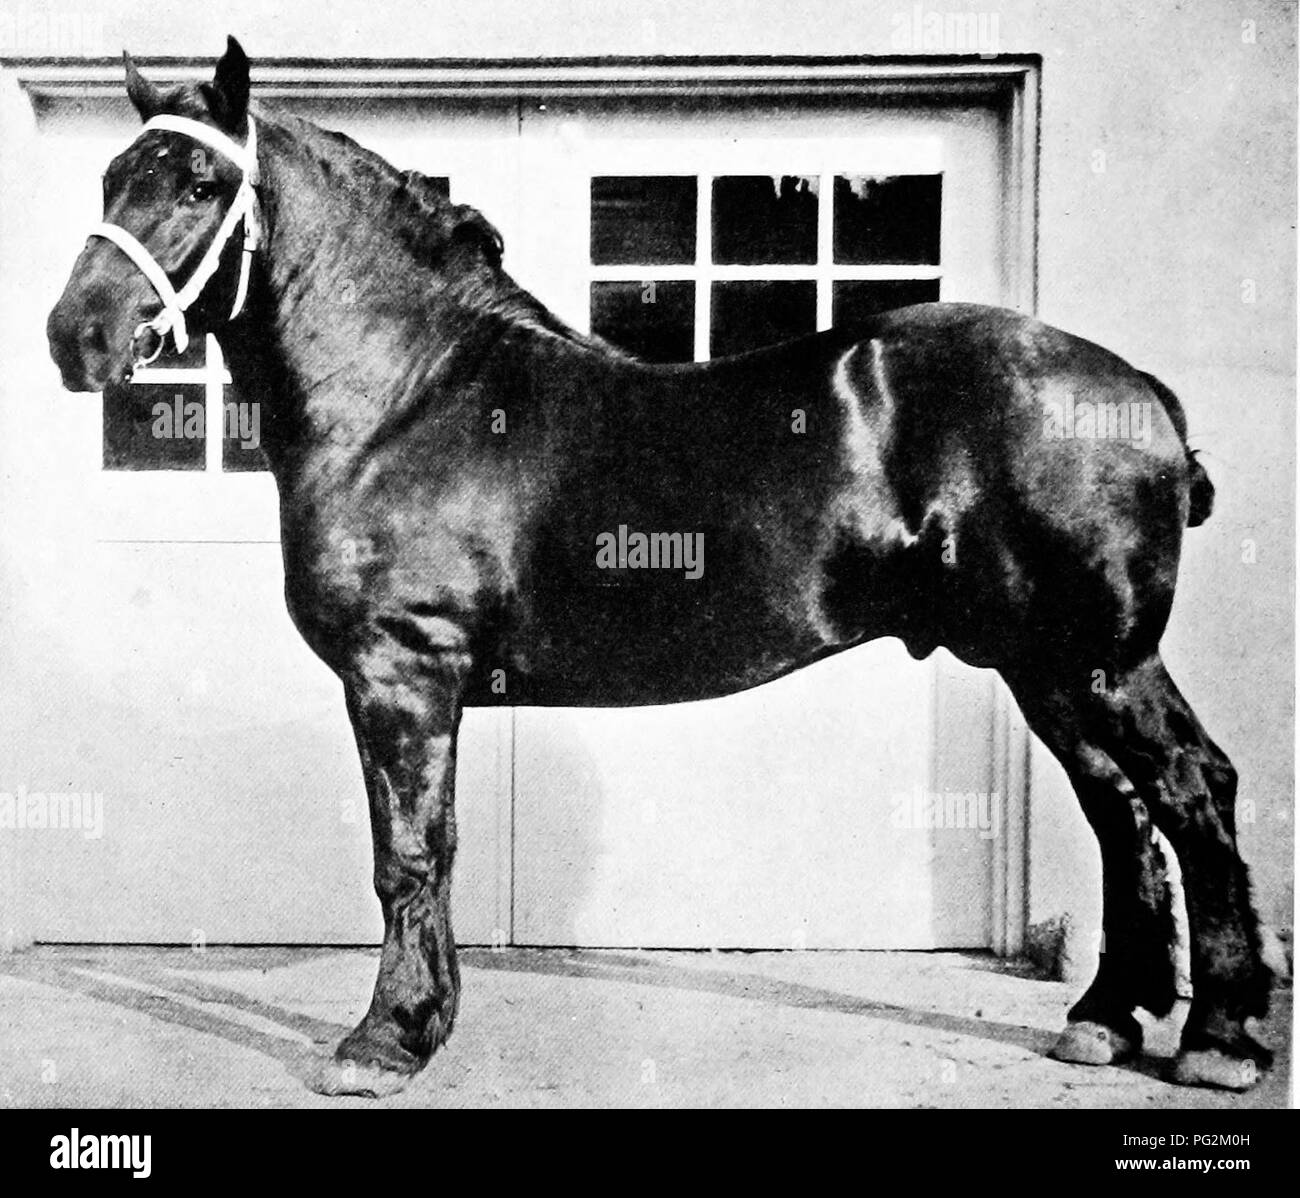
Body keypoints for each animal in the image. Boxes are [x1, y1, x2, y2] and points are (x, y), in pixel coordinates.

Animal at [46, 38, 1274, 1097]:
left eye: (199, 181)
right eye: (112, 174)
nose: (75, 336)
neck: (409, 394)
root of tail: (1137, 389)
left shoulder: (402, 675)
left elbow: (408, 855)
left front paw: (384, 1041)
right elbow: (430, 851)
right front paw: (423, 1022)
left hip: (1096, 660)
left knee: (1190, 789)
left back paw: (1221, 1039)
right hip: (1045, 665)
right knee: (1121, 810)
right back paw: (1106, 1019)